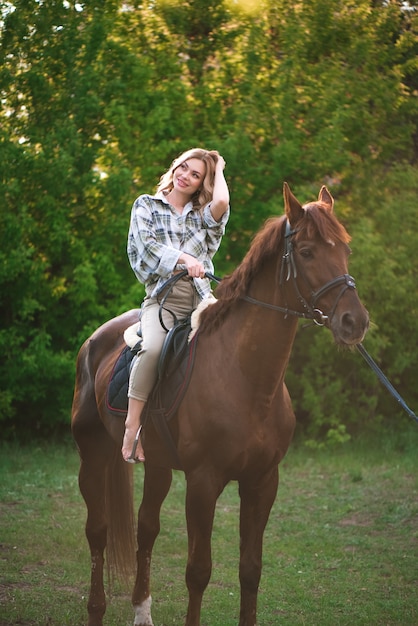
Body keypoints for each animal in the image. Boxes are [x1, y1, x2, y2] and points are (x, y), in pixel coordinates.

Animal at [72, 183, 370, 620]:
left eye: (345, 249)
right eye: (307, 252)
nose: (354, 321)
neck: (246, 379)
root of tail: (94, 341)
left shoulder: (263, 482)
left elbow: (251, 570)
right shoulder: (203, 482)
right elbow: (198, 571)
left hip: (157, 464)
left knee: (146, 529)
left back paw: (142, 611)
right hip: (92, 454)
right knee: (97, 532)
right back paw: (97, 609)